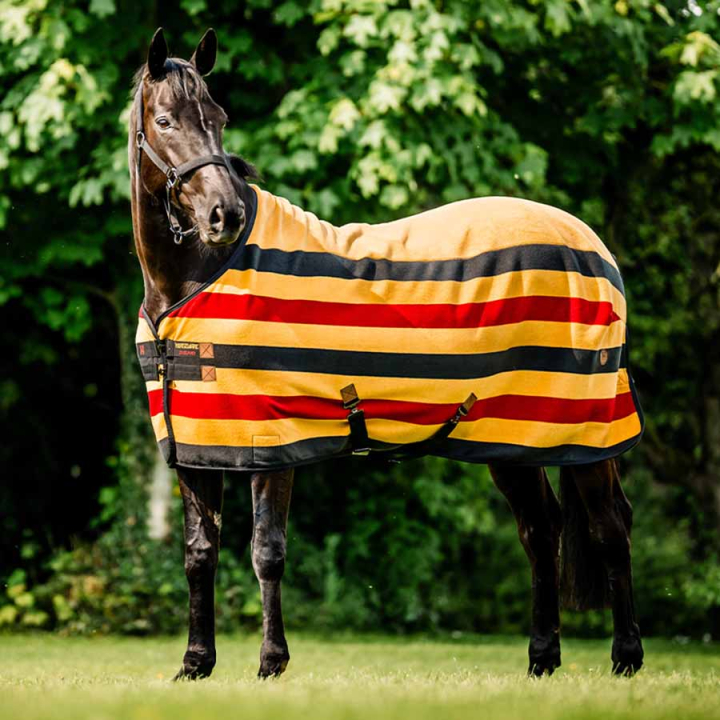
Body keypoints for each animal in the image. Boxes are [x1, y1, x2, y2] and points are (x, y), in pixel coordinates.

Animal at [129, 28, 645, 680]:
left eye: (219, 119)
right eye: (165, 120)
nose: (226, 214)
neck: (194, 280)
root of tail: (591, 247)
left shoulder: (271, 441)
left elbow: (267, 551)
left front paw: (272, 663)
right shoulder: (199, 446)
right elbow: (200, 554)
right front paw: (196, 665)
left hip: (585, 427)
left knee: (609, 526)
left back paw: (626, 658)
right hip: (512, 434)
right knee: (540, 527)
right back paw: (541, 660)